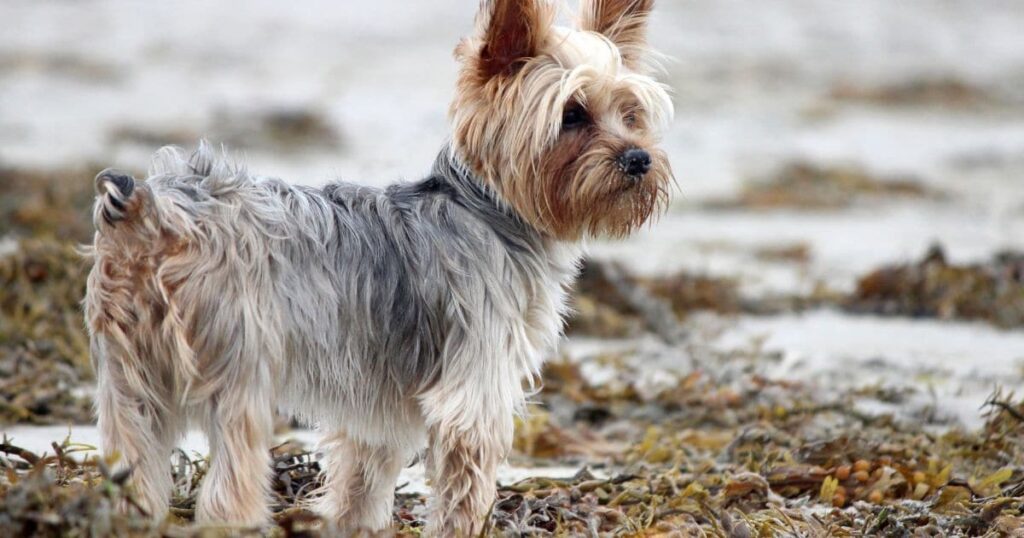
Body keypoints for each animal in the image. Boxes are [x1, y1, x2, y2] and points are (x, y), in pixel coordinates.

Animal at [86, 0, 671, 532]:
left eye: (630, 114)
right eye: (572, 114)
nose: (639, 158)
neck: (489, 210)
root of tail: (152, 208)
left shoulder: (378, 412)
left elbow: (359, 486)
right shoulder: (473, 392)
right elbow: (464, 490)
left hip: (129, 380)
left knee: (134, 464)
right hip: (239, 367)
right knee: (230, 485)